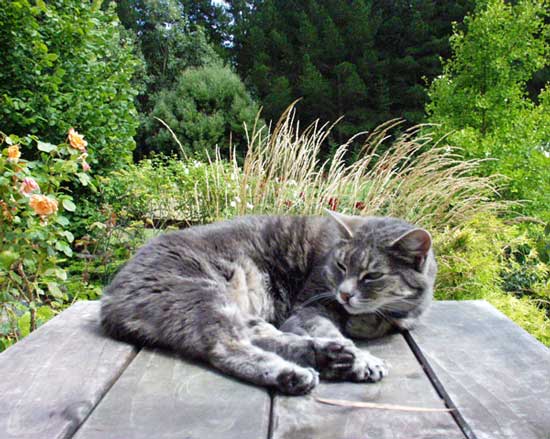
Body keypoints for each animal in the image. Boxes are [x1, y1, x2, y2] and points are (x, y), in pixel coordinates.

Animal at [100, 211, 440, 398]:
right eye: (342, 266)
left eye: (372, 275)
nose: (344, 294)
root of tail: (109, 296)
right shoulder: (307, 309)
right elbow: (331, 329)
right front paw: (363, 358)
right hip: (205, 298)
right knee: (226, 348)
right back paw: (301, 372)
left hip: (241, 312)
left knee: (265, 338)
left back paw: (327, 359)